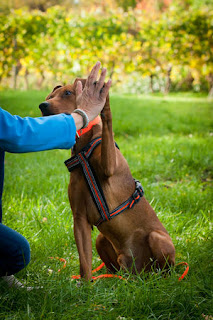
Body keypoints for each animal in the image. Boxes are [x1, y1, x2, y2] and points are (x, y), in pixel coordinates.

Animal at [39, 80, 176, 280]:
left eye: (68, 93)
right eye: (49, 97)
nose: (42, 105)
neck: (84, 150)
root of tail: (138, 272)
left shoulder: (110, 164)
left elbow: (108, 130)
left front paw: (103, 104)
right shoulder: (79, 219)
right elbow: (85, 263)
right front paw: (86, 286)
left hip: (158, 238)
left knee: (165, 269)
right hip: (102, 240)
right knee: (113, 268)